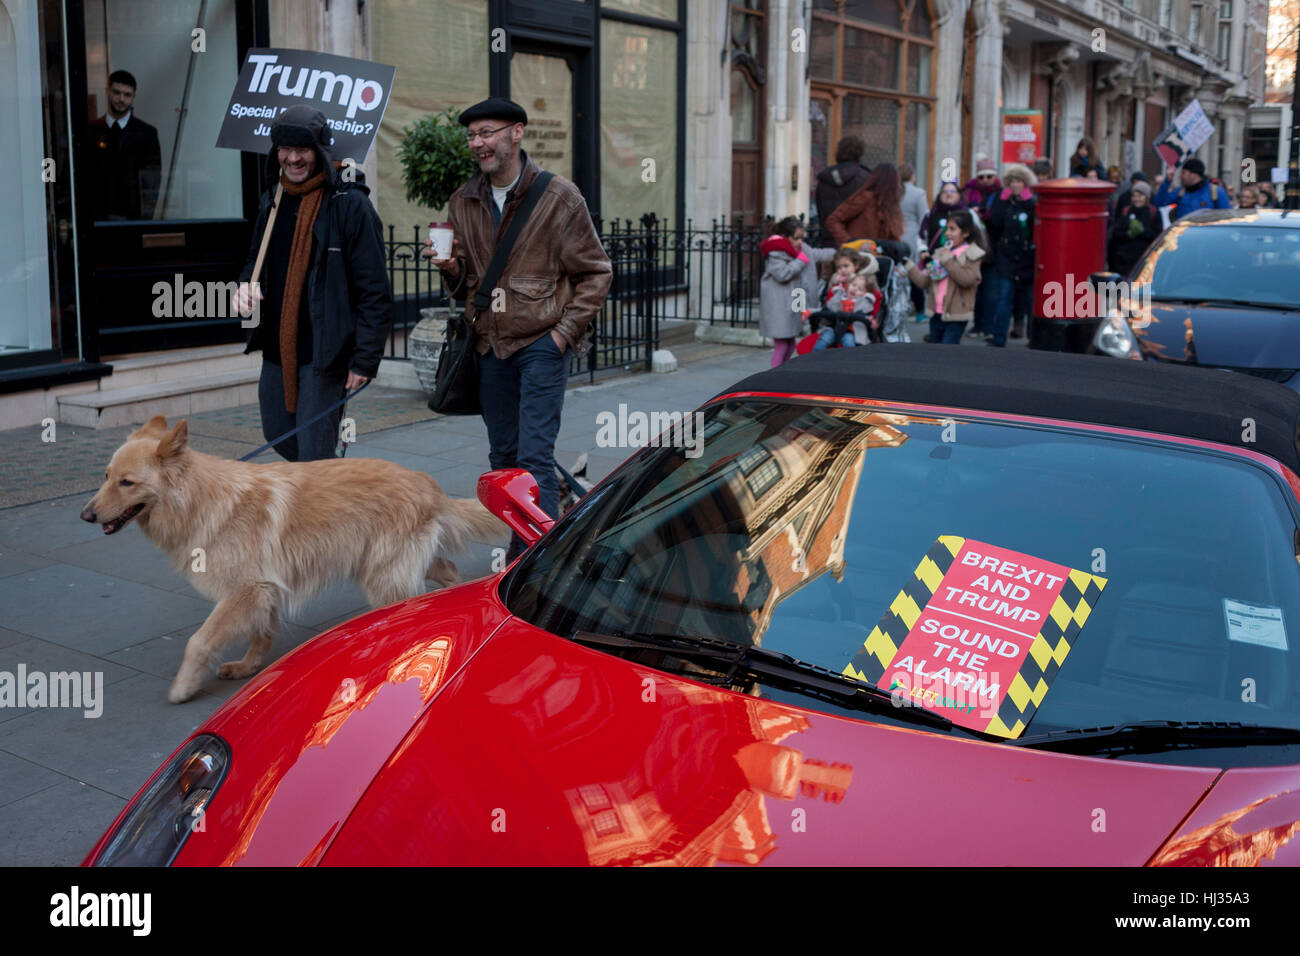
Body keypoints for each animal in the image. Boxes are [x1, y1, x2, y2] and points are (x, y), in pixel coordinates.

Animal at [81, 416, 504, 702]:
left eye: (127, 482)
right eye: (105, 476)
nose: (85, 516)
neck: (200, 499)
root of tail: (427, 484)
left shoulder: (244, 590)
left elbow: (199, 641)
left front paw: (185, 686)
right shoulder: (263, 590)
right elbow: (261, 631)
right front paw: (249, 667)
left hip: (383, 577)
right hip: (389, 565)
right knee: (447, 568)